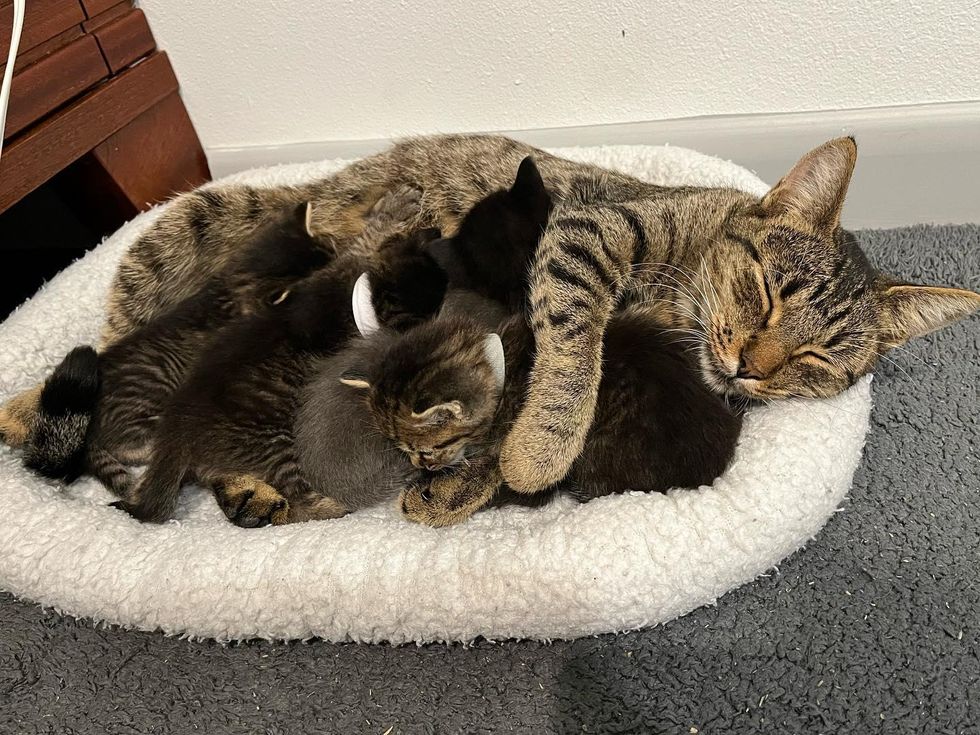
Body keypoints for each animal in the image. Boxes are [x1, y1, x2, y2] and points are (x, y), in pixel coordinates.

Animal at [3, 135, 976, 508]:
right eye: (768, 291)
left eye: (816, 360)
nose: (751, 365)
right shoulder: (588, 233)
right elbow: (569, 351)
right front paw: (542, 444)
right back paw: (27, 409)